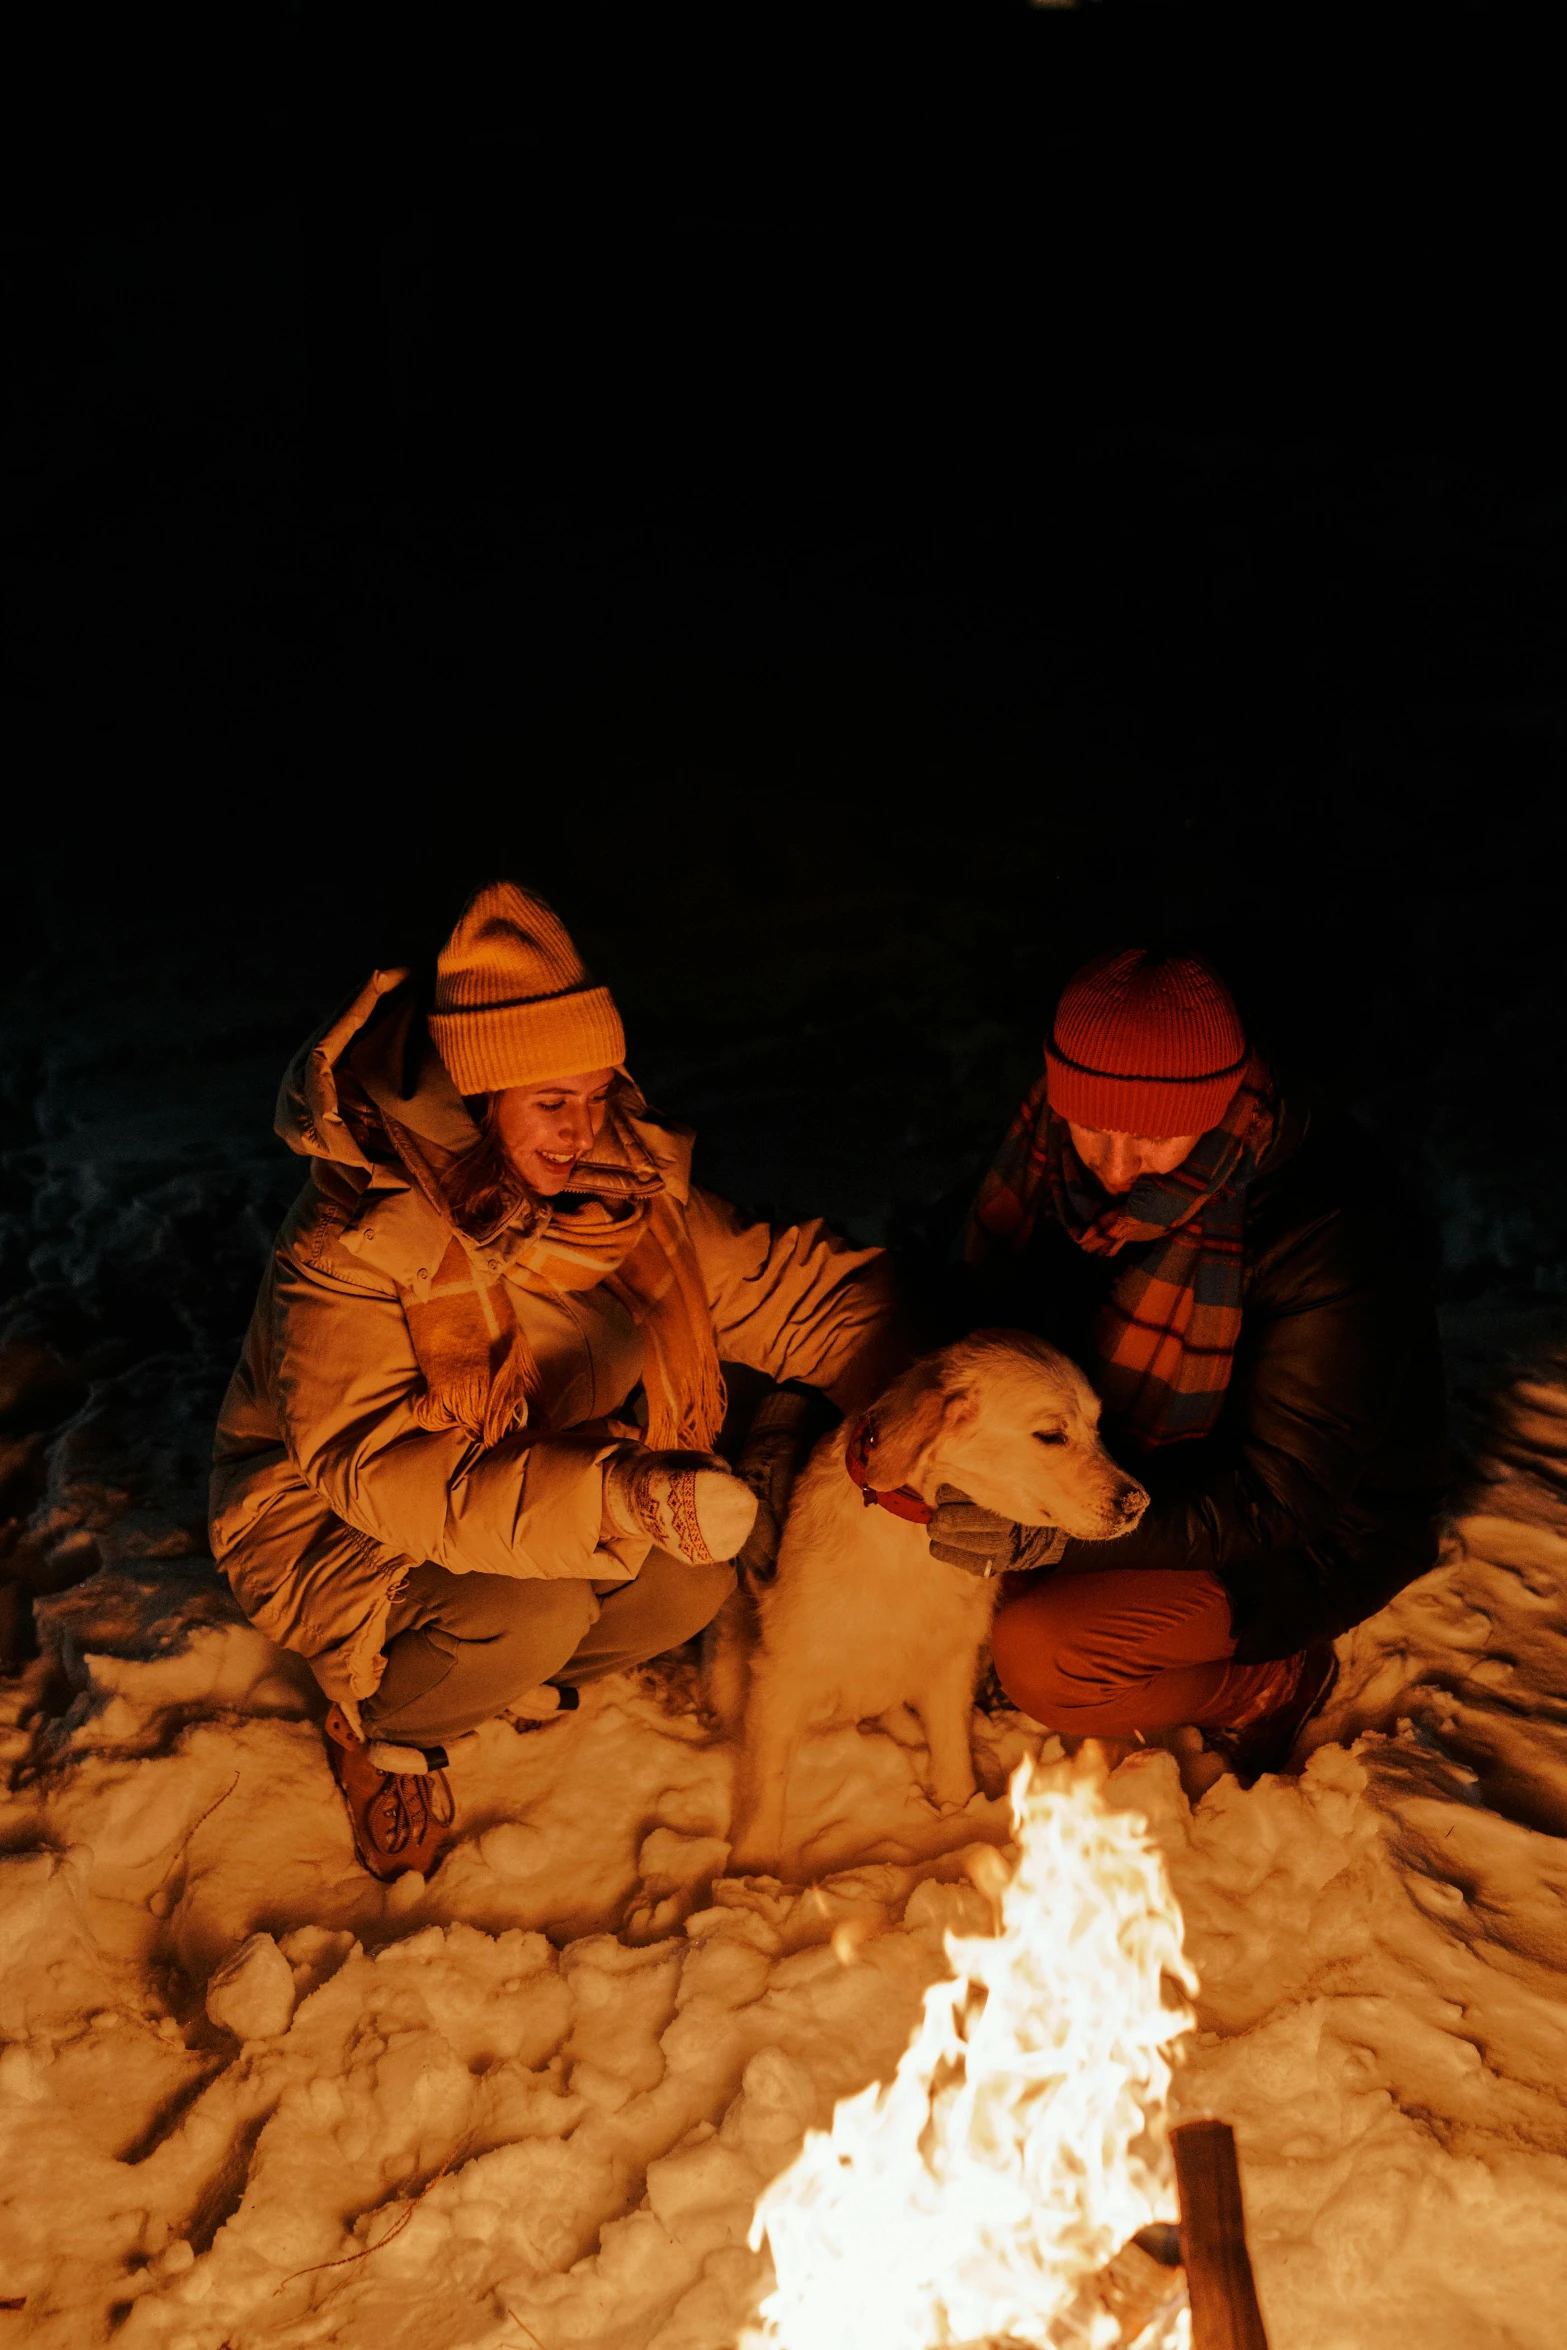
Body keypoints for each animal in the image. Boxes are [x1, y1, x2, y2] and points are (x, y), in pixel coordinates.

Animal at [723, 1334, 1151, 1879]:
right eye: (1052, 1435)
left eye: (1096, 1427)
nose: (1138, 1503)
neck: (914, 1539)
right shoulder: (784, 1671)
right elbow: (769, 1777)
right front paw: (751, 1869)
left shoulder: (951, 1664)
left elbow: (951, 1752)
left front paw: (957, 1812)